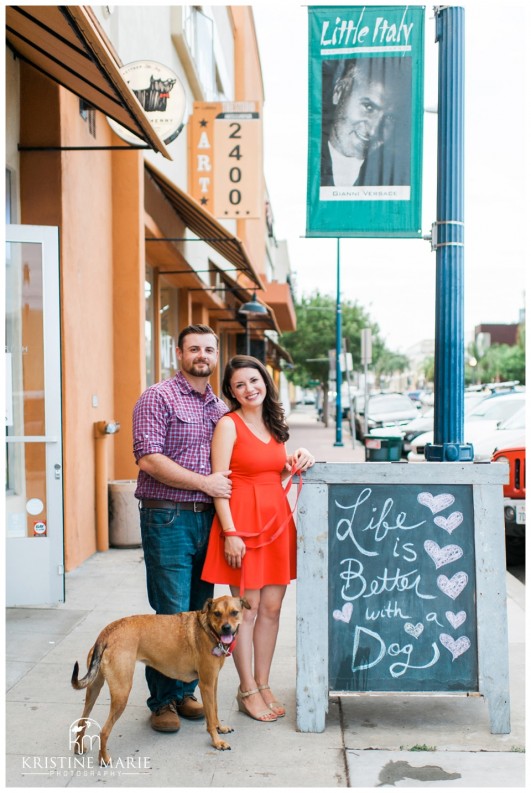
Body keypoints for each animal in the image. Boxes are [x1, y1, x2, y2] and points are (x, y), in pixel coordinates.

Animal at [70, 592, 249, 760]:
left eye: (234, 612)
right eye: (217, 614)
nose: (226, 628)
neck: (209, 630)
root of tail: (107, 632)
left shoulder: (213, 682)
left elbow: (215, 709)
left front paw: (221, 728)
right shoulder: (206, 684)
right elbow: (210, 717)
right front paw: (216, 741)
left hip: (93, 689)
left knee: (83, 720)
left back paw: (79, 747)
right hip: (121, 693)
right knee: (104, 731)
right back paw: (104, 758)